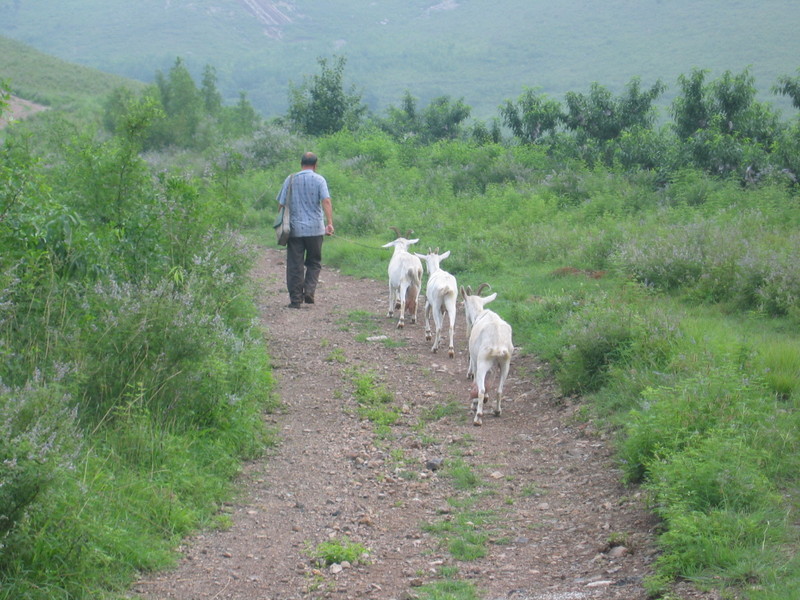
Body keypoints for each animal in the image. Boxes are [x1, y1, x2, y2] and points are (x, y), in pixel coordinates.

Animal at [462, 284, 512, 426]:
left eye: (464, 305)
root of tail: (498, 342)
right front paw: (486, 399)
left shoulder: (475, 360)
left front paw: (475, 403)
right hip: (505, 363)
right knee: (500, 390)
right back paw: (497, 411)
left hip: (483, 361)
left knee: (481, 389)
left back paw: (478, 417)